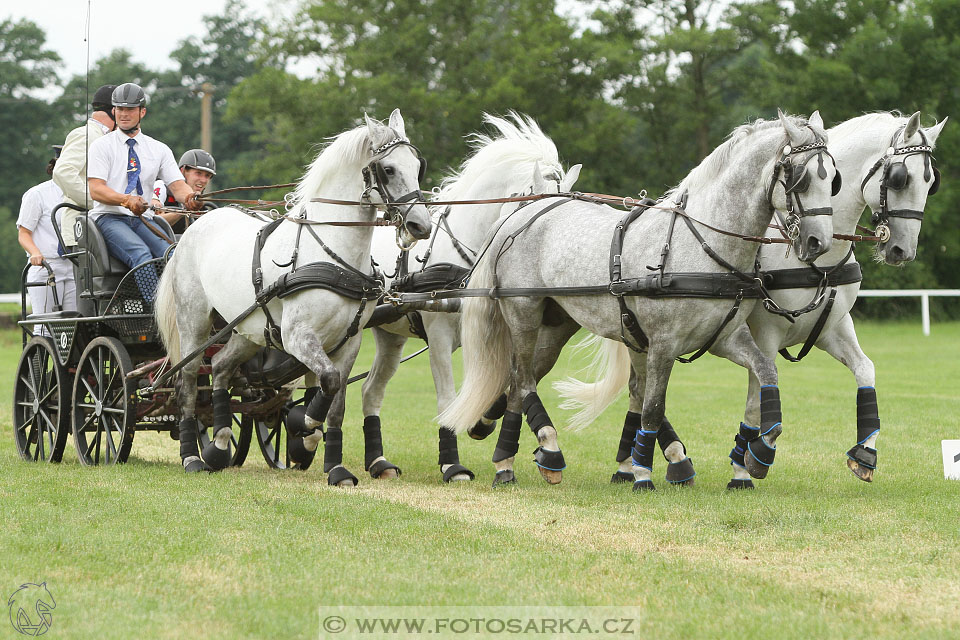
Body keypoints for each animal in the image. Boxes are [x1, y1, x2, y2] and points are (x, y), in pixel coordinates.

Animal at [156, 109, 430, 476]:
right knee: (187, 379)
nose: (421, 226)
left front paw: (330, 463)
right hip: (194, 321)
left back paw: (219, 444)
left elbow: (336, 400)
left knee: (222, 368)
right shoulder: (297, 336)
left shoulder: (350, 341)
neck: (333, 256)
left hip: (248, 329)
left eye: (417, 166)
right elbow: (328, 380)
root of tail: (195, 226)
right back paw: (191, 456)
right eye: (388, 169)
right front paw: (304, 424)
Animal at [356, 114, 580, 480]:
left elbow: (516, 379)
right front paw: (452, 463)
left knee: (370, 391)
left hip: (390, 337)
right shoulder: (439, 337)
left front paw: (484, 423)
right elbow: (447, 399)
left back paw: (377, 462)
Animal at [438, 111, 836, 490]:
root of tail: (520, 214)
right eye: (800, 179)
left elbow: (766, 374)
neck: (702, 245)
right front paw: (644, 473)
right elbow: (653, 408)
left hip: (557, 323)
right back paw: (541, 452)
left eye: (833, 179)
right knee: (522, 379)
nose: (819, 242)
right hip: (523, 311)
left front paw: (759, 452)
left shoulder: (725, 339)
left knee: (521, 379)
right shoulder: (663, 344)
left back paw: (506, 457)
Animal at [556, 111, 944, 484]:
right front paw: (750, 461)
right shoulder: (765, 334)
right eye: (900, 178)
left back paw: (634, 463)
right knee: (646, 390)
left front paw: (865, 453)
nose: (901, 250)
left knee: (639, 388)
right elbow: (756, 399)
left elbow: (866, 370)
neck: (815, 264)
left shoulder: (833, 328)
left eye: (930, 183)